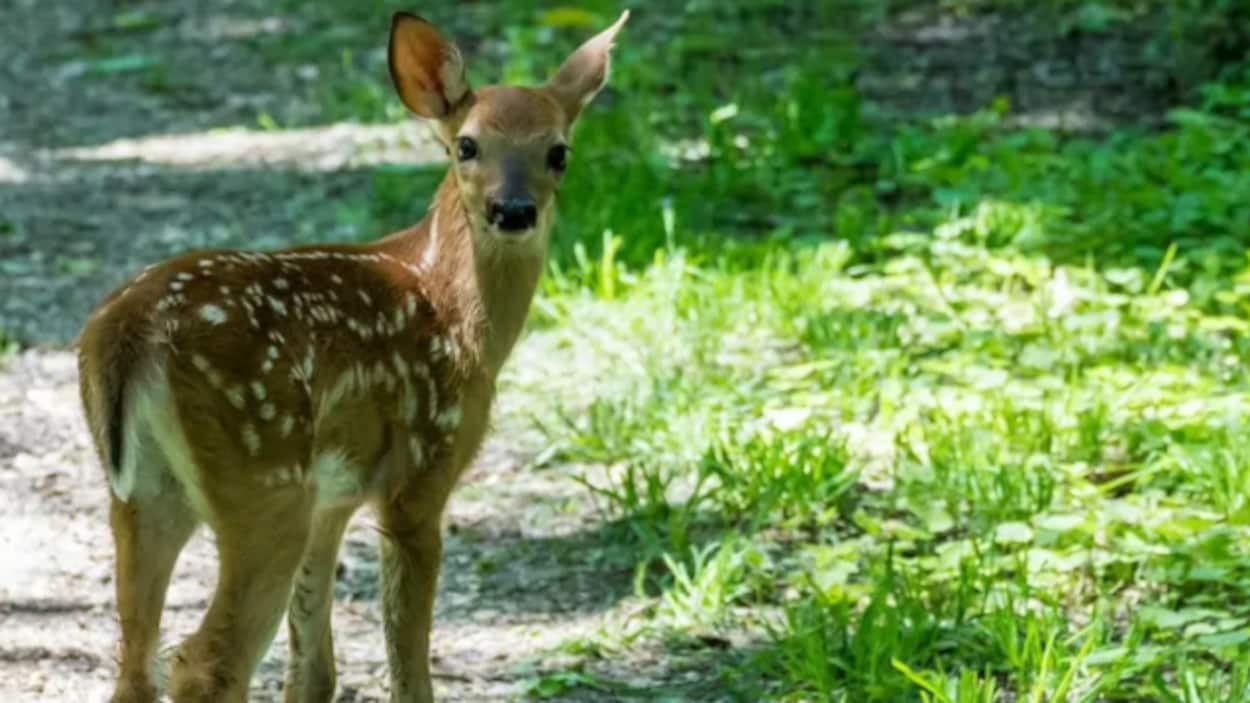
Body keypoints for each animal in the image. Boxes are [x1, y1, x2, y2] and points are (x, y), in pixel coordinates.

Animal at [73, 10, 630, 700]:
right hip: (263, 480)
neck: (452, 303)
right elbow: (408, 666)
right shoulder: (422, 471)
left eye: (559, 151)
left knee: (136, 660)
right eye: (466, 145)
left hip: (146, 494)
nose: (513, 210)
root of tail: (127, 329)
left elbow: (314, 668)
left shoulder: (335, 495)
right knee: (205, 660)